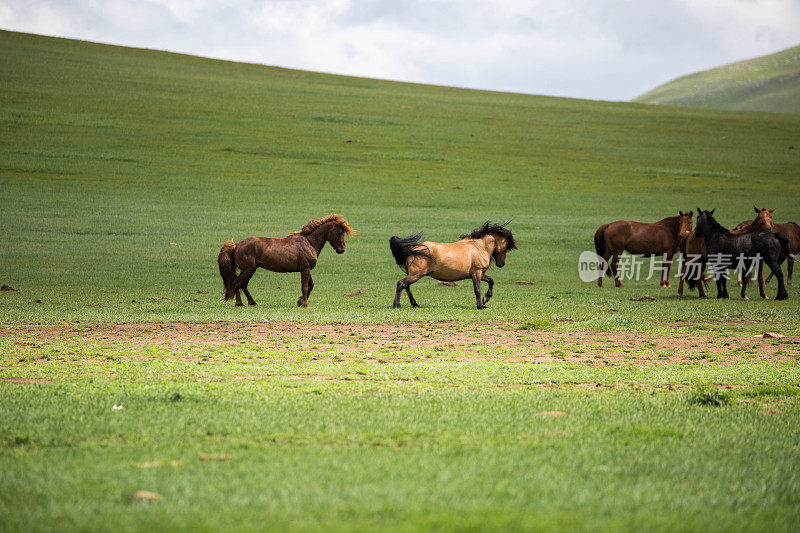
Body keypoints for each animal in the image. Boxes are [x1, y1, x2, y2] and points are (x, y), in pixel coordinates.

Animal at [220, 213, 354, 308]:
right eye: (339, 232)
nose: (341, 250)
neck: (309, 242)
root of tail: (236, 245)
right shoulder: (305, 269)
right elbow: (305, 287)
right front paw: (305, 304)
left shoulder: (306, 269)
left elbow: (310, 286)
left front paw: (300, 301)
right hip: (248, 269)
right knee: (237, 283)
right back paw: (239, 304)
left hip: (250, 270)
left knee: (243, 285)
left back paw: (252, 303)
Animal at [390, 220, 520, 310]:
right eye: (507, 245)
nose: (501, 264)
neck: (478, 247)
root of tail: (412, 249)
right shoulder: (476, 273)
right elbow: (477, 290)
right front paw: (480, 306)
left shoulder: (478, 274)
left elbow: (491, 281)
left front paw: (485, 299)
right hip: (416, 274)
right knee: (401, 284)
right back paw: (397, 305)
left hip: (414, 275)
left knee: (406, 286)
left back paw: (414, 304)